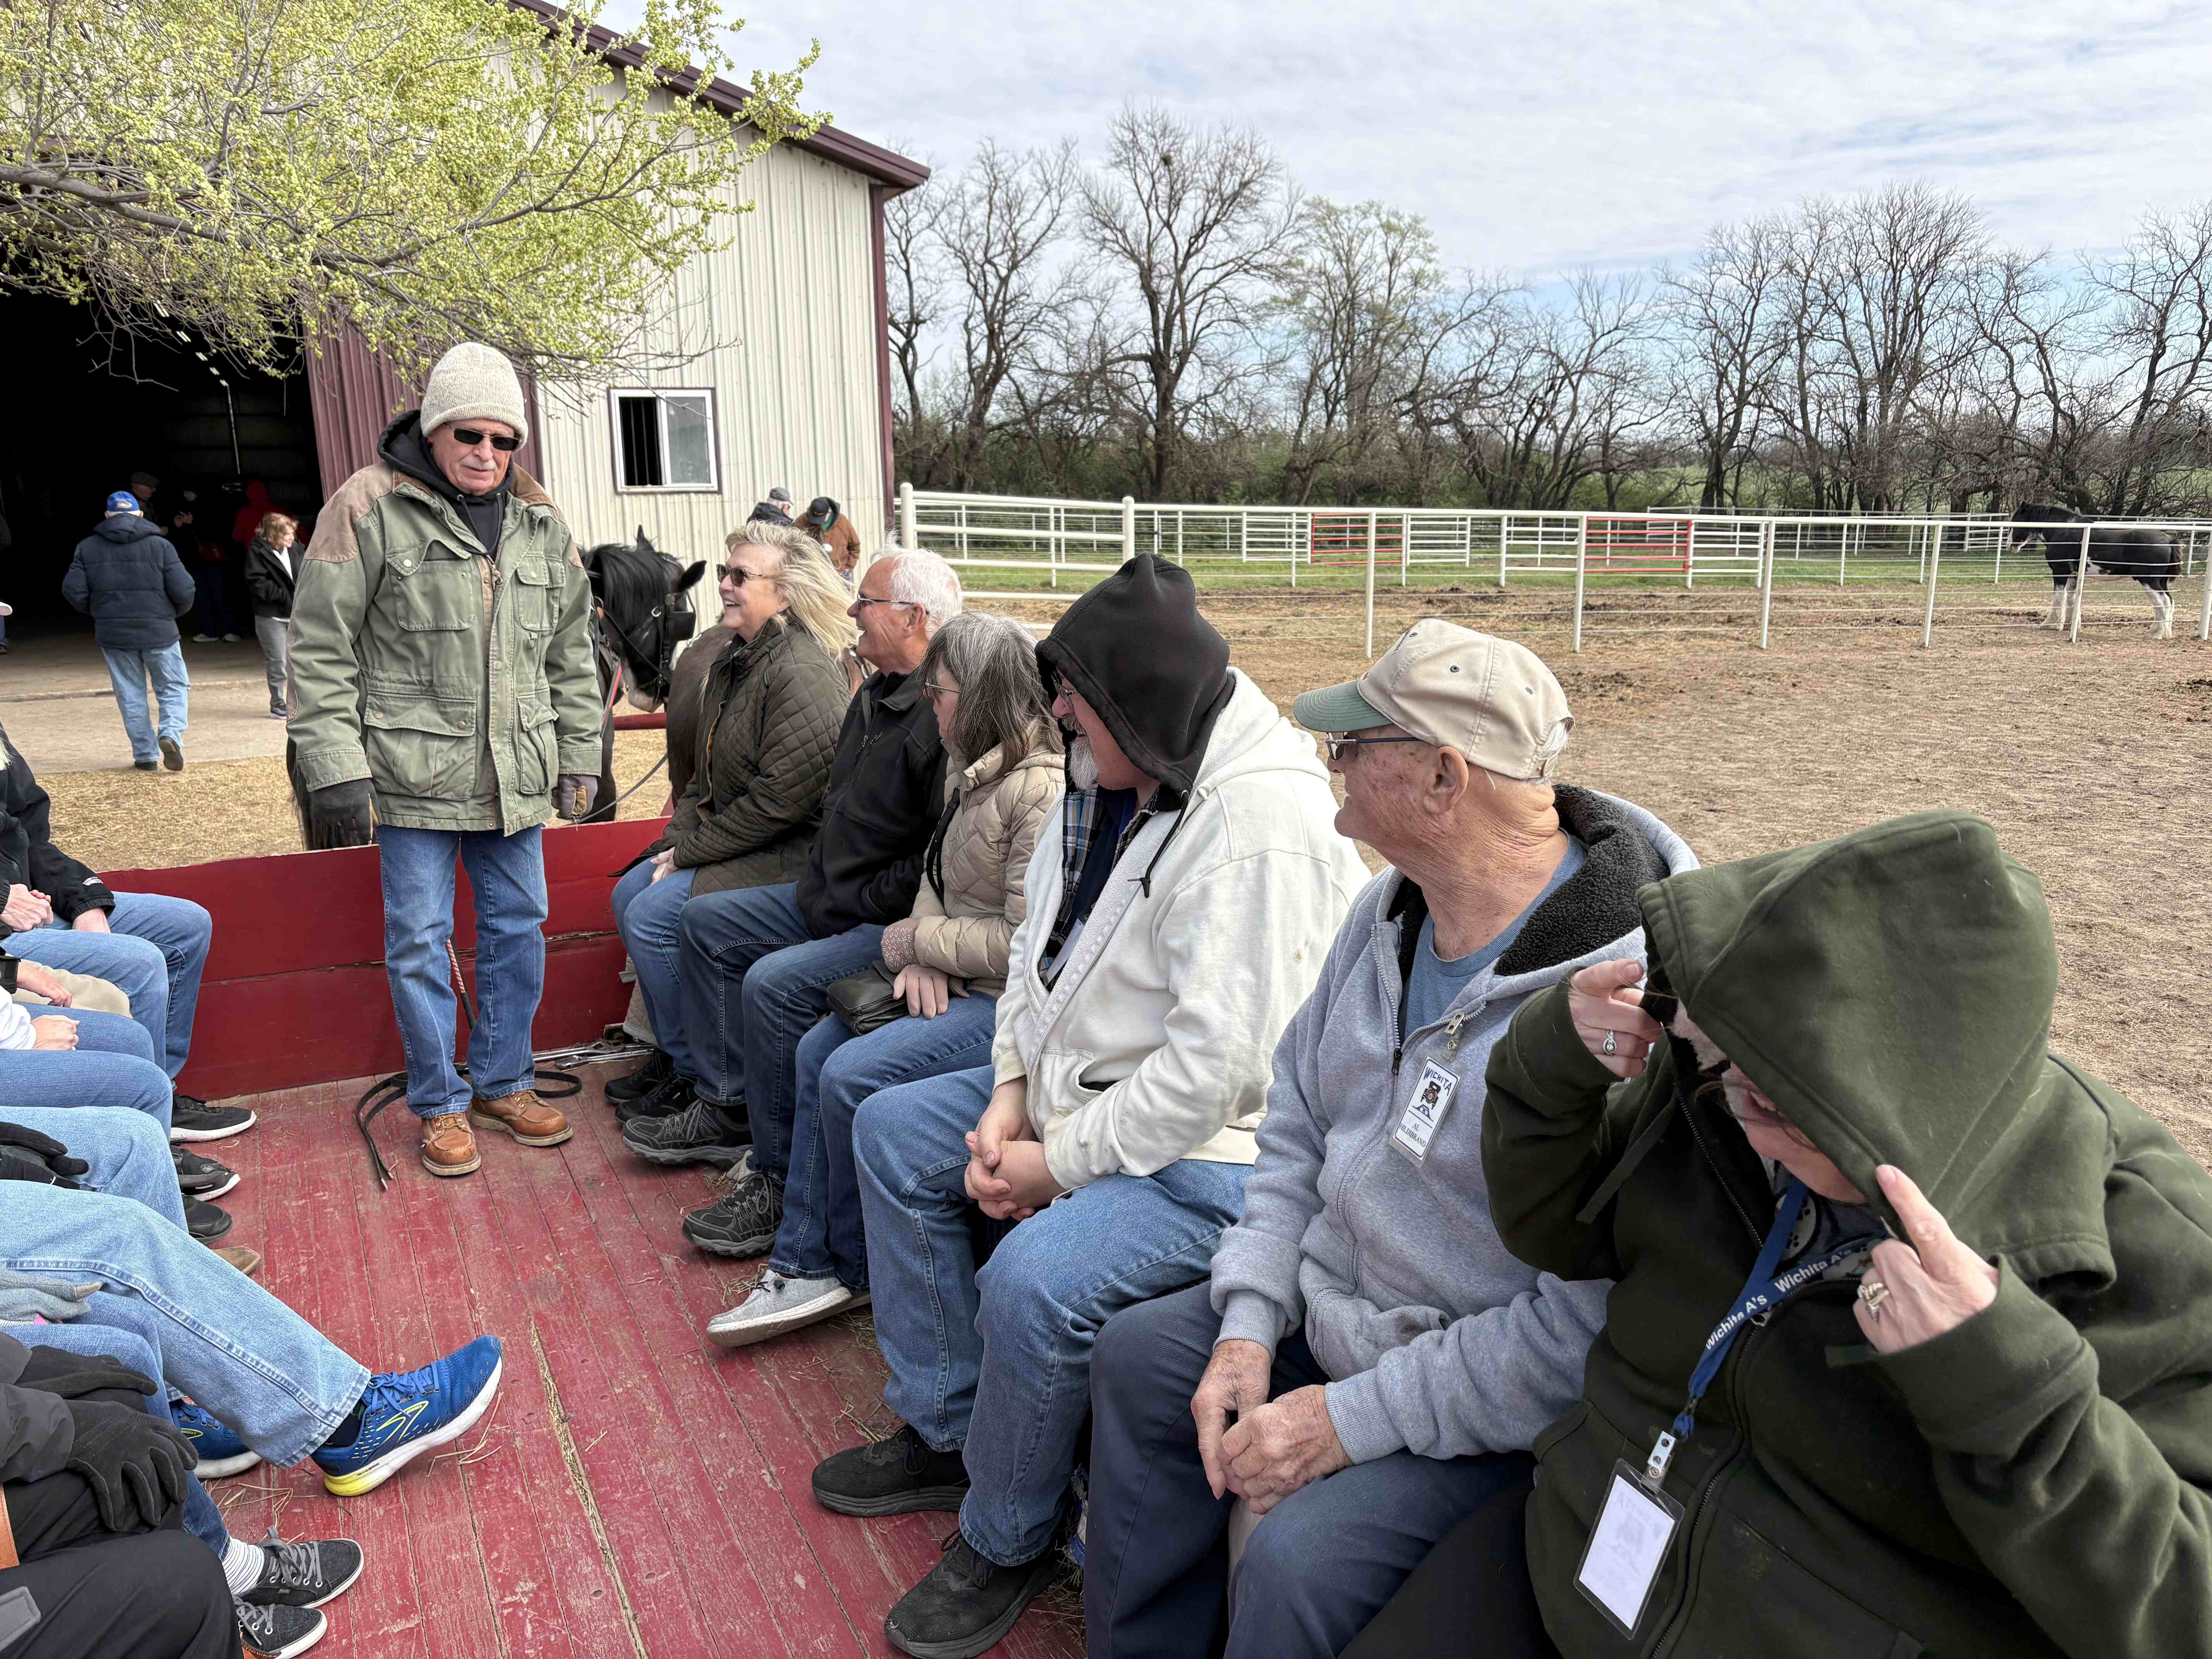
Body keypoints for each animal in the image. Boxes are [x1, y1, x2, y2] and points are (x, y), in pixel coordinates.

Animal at [2008, 502, 2182, 639]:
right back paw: (2163, 632)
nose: (2010, 546)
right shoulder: (2074, 575)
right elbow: (2071, 599)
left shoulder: (2060, 571)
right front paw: (2070, 626)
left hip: (2149, 580)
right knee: (2170, 602)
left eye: (2017, 521)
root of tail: (2169, 540)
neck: (2064, 530)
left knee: (2163, 603)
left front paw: (2051, 624)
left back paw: (2156, 634)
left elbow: (2059, 597)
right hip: (2161, 581)